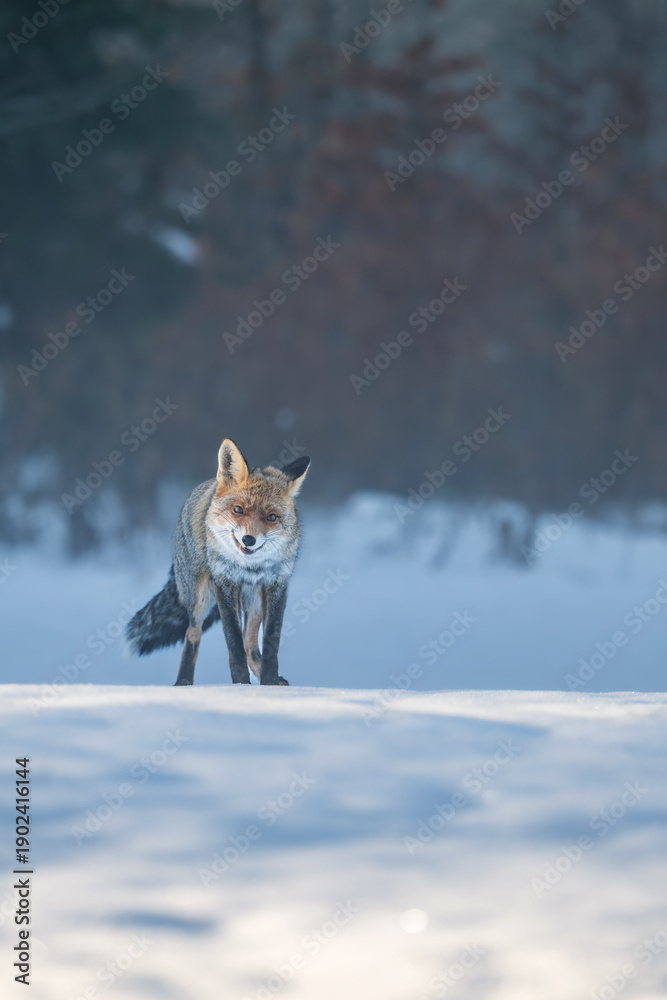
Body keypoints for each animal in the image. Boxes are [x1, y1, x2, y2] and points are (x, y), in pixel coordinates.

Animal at [126, 438, 310, 686]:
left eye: (271, 517)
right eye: (238, 509)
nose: (249, 539)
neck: (250, 567)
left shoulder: (277, 584)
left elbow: (271, 641)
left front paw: (269, 683)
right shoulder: (224, 582)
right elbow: (234, 643)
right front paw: (241, 685)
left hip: (253, 600)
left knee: (250, 645)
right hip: (201, 596)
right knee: (193, 633)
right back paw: (183, 683)